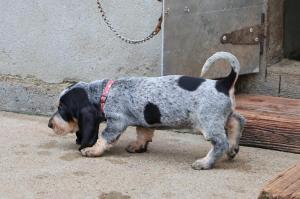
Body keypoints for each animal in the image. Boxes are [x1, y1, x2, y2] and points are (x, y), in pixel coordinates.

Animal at [48, 51, 246, 169]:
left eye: (62, 107)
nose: (50, 124)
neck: (105, 93)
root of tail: (222, 83)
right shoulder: (141, 120)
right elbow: (143, 133)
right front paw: (138, 146)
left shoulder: (116, 122)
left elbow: (104, 137)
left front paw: (93, 150)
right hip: (222, 116)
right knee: (238, 121)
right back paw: (233, 147)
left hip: (208, 121)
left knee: (220, 143)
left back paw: (205, 162)